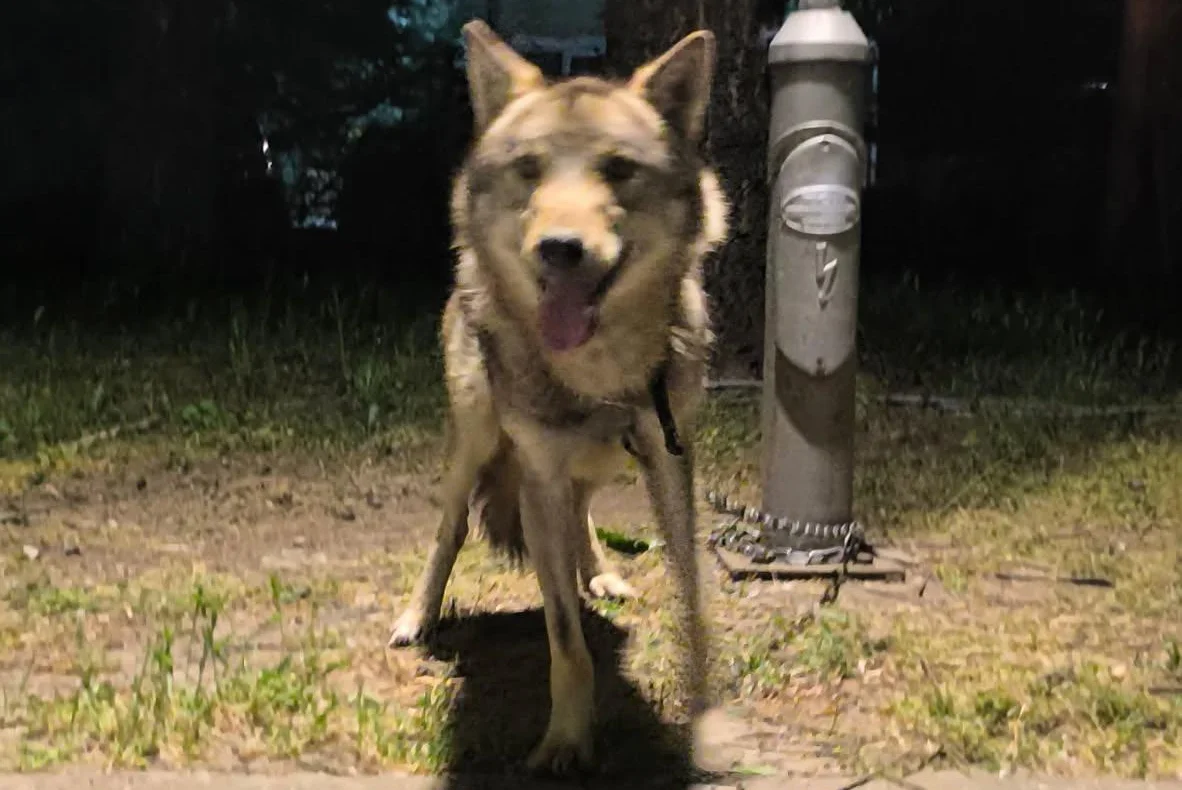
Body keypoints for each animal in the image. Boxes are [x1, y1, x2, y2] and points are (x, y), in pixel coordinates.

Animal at [388, 19, 730, 776]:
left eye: (619, 169)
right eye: (529, 169)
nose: (560, 248)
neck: (602, 376)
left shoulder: (674, 463)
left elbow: (695, 607)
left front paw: (708, 722)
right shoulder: (538, 475)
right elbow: (565, 642)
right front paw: (567, 742)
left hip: (607, 462)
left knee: (583, 514)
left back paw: (599, 576)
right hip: (477, 440)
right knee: (451, 530)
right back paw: (417, 618)